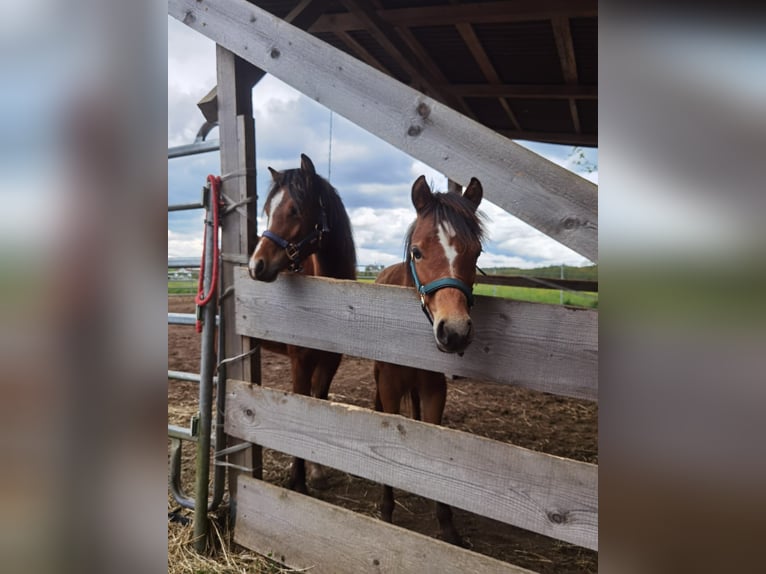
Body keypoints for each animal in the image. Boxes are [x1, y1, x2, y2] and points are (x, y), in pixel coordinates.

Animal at [249, 153, 356, 496]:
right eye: (268, 211)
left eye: (295, 209)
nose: (256, 266)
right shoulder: (300, 362)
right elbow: (300, 406)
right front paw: (298, 481)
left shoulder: (330, 361)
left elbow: (317, 402)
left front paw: (317, 472)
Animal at [374, 177, 486, 548]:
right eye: (418, 252)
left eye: (476, 252)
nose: (454, 332)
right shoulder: (390, 389)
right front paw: (386, 510)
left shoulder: (435, 391)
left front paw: (447, 526)